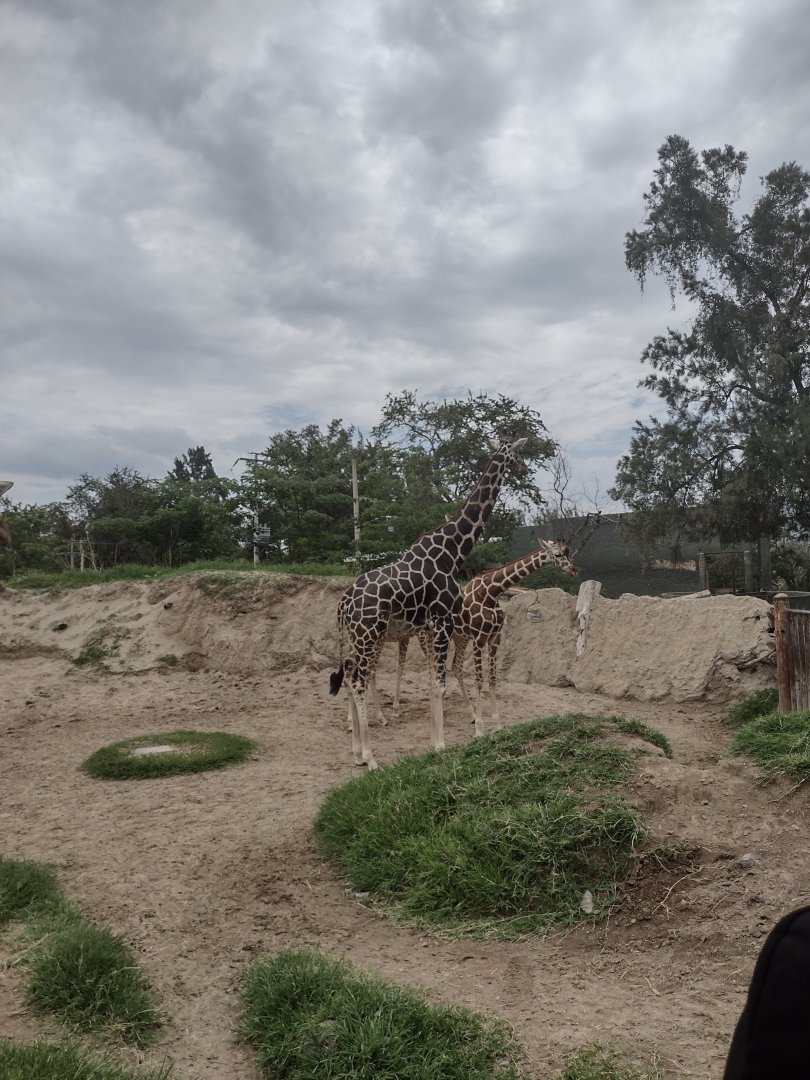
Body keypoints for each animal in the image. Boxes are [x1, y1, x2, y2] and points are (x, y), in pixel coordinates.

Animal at [330, 436, 528, 769]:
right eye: (516, 453)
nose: (525, 470)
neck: (451, 551)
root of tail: (344, 602)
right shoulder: (442, 620)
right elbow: (440, 683)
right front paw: (441, 745)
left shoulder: (429, 626)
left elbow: (434, 681)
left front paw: (436, 742)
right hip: (369, 634)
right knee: (357, 681)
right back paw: (370, 758)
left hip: (359, 637)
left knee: (351, 678)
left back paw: (356, 752)